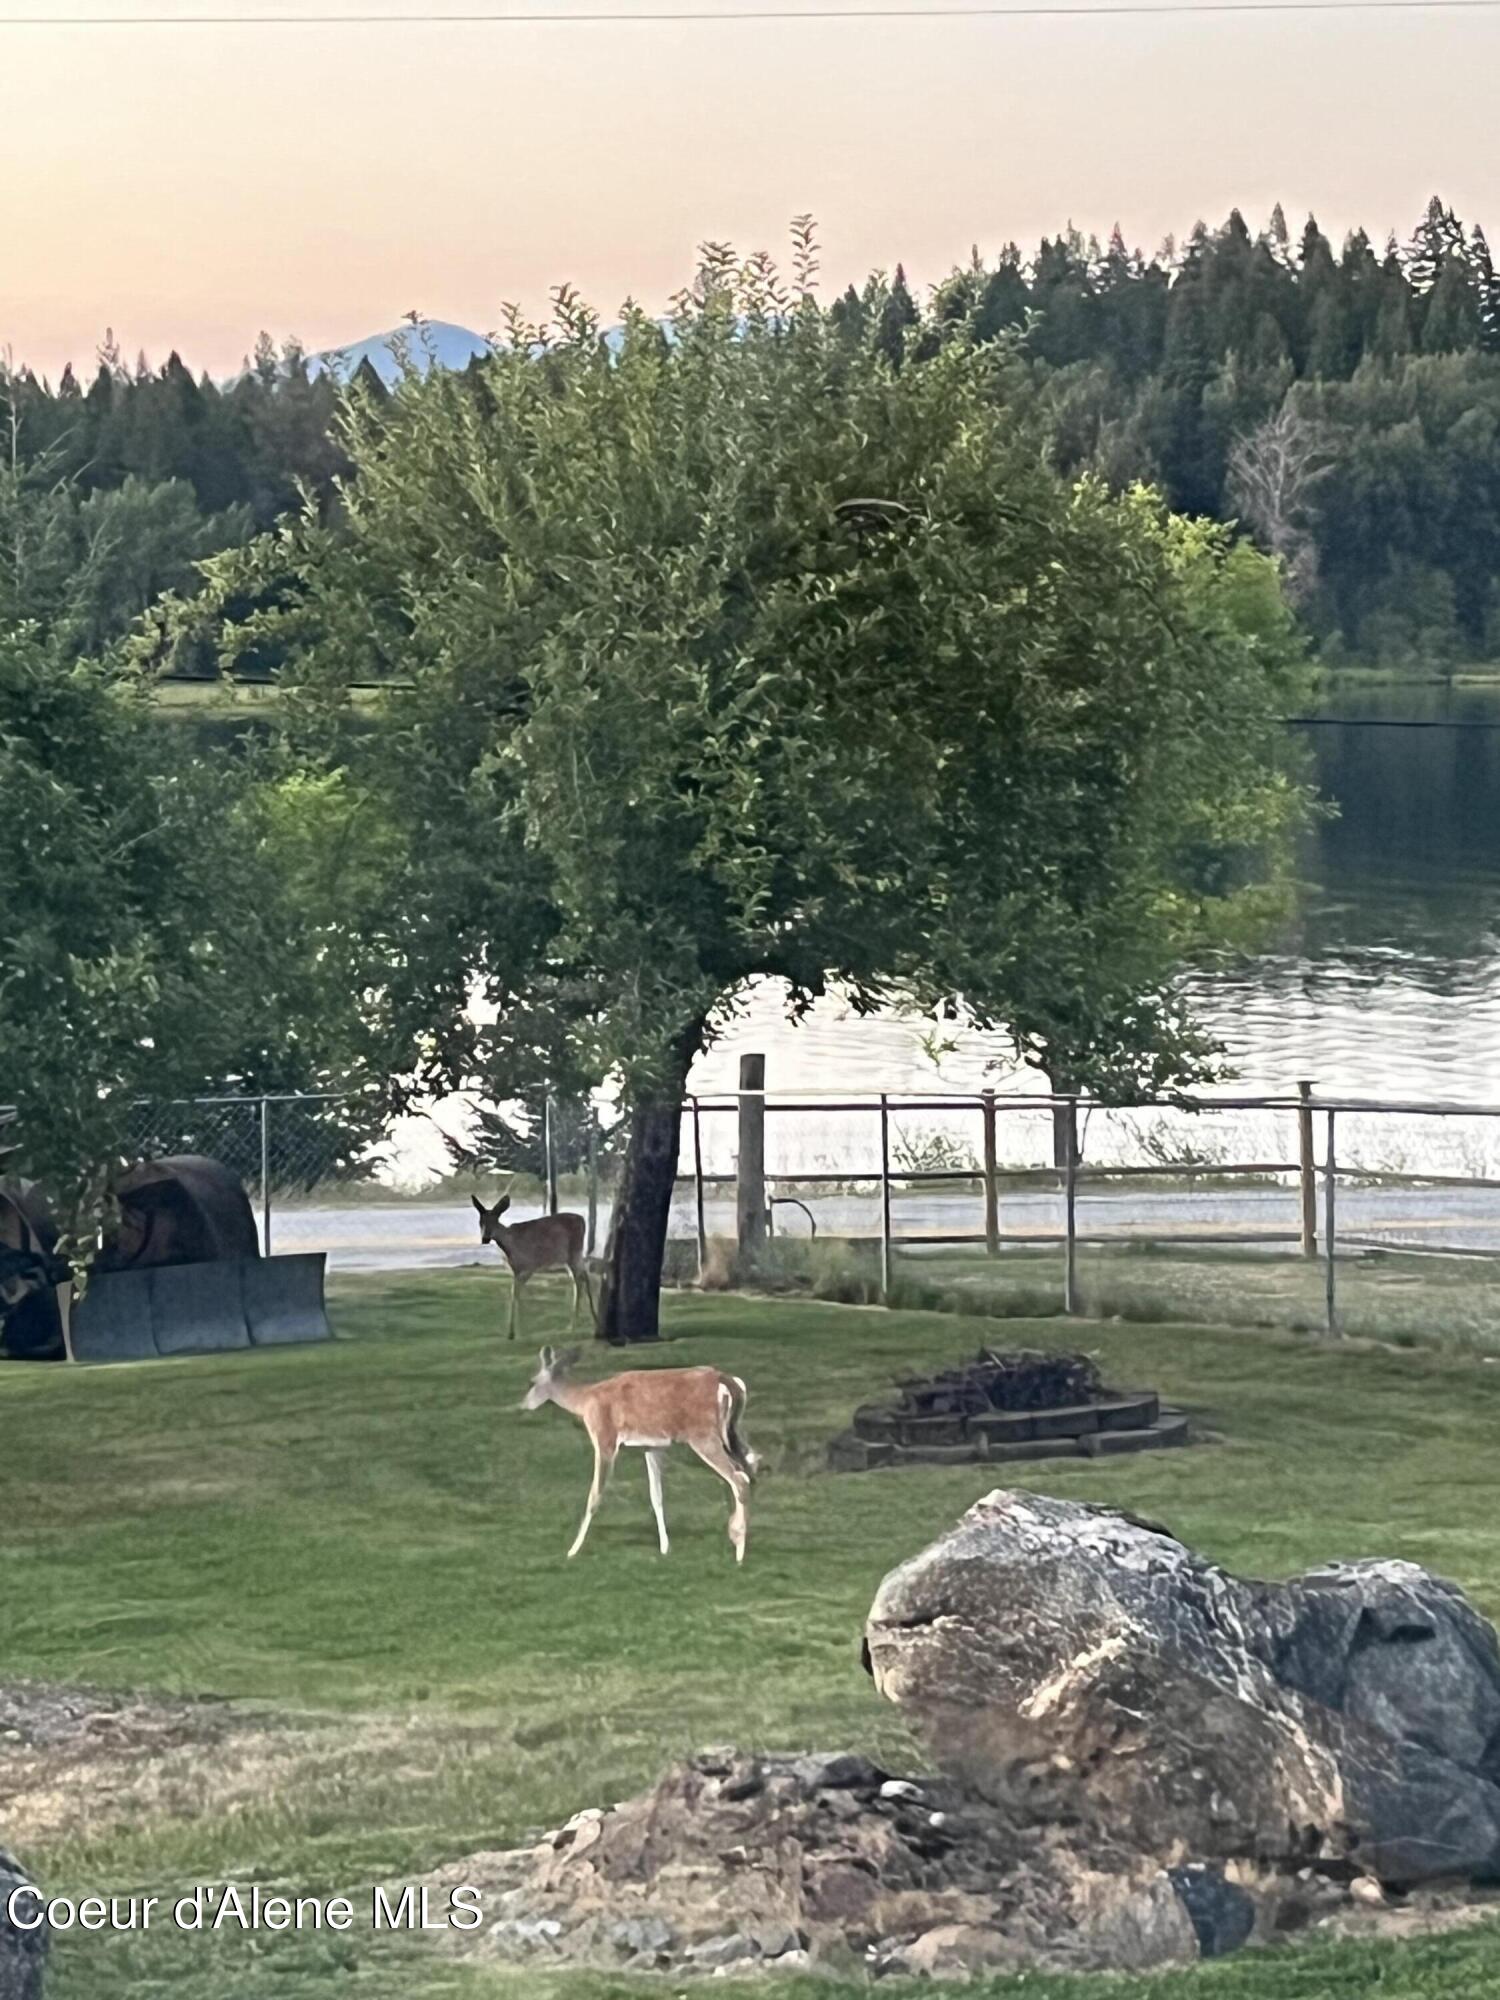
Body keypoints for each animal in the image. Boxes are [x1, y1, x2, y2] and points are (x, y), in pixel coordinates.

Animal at [472, 1192, 595, 1340]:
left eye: (494, 1221)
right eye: (481, 1222)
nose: (484, 1239)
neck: (509, 1246)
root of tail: (582, 1220)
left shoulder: (529, 1266)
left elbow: (516, 1294)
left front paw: (517, 1331)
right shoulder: (516, 1271)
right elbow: (514, 1294)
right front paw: (514, 1331)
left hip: (574, 1252)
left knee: (580, 1279)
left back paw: (574, 1325)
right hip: (569, 1258)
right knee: (583, 1276)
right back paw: (588, 1319)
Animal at [521, 1345, 761, 1562]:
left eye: (531, 1382)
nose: (524, 1404)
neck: (586, 1400)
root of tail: (728, 1381)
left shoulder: (605, 1438)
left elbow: (594, 1495)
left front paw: (573, 1549)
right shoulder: (652, 1445)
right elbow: (656, 1496)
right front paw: (664, 1547)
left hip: (703, 1436)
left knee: (739, 1478)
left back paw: (739, 1548)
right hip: (733, 1431)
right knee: (751, 1466)